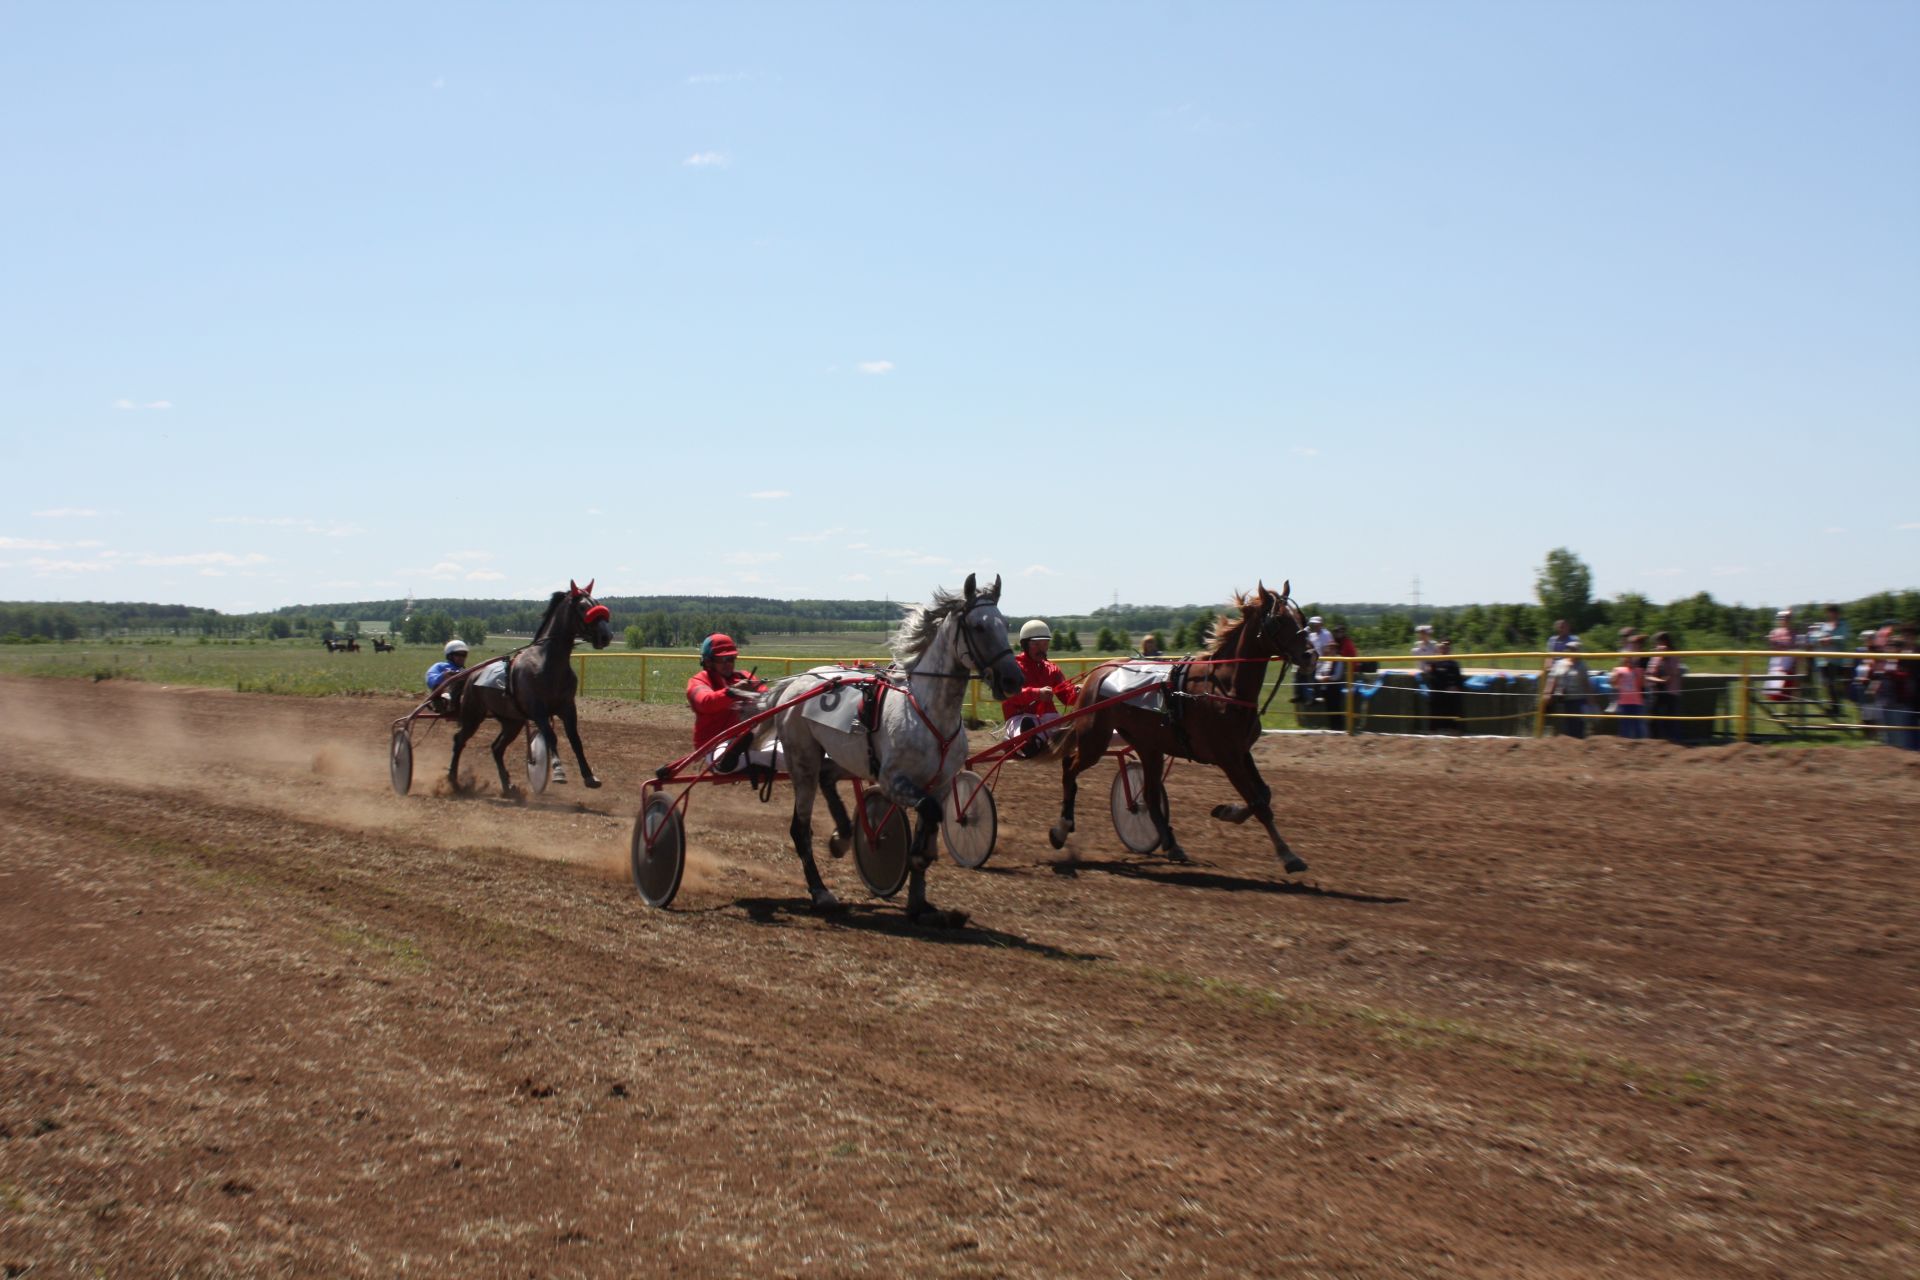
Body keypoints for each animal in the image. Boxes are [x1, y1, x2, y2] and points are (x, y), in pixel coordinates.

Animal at [445, 583, 610, 802]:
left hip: (511, 722)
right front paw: (558, 772)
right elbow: (551, 737)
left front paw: (590, 777)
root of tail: (471, 674)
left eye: (598, 603)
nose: (606, 636)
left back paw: (508, 787)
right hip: (473, 715)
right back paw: (454, 781)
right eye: (583, 607)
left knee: (496, 748)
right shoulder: (537, 710)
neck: (547, 663)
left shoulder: (568, 708)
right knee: (459, 740)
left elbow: (576, 740)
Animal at [741, 575, 1029, 924]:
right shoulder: (894, 781)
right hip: (803, 760)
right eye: (979, 626)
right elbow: (929, 814)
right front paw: (914, 860)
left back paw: (842, 836)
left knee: (827, 778)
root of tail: (794, 684)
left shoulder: (940, 783)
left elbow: (932, 818)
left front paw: (920, 901)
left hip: (845, 758)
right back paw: (820, 892)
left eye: (1006, 624)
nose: (1013, 679)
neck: (930, 712)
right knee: (800, 827)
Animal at [1052, 583, 1320, 875]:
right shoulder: (1227, 757)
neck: (1224, 688)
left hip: (1149, 746)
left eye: (1302, 618)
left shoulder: (1242, 752)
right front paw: (1287, 854)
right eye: (1278, 619)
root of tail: (1099, 672)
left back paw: (1171, 844)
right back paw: (1061, 829)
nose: (1310, 655)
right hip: (1094, 740)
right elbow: (1258, 803)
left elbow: (1263, 794)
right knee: (1069, 769)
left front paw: (1227, 811)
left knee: (1149, 795)